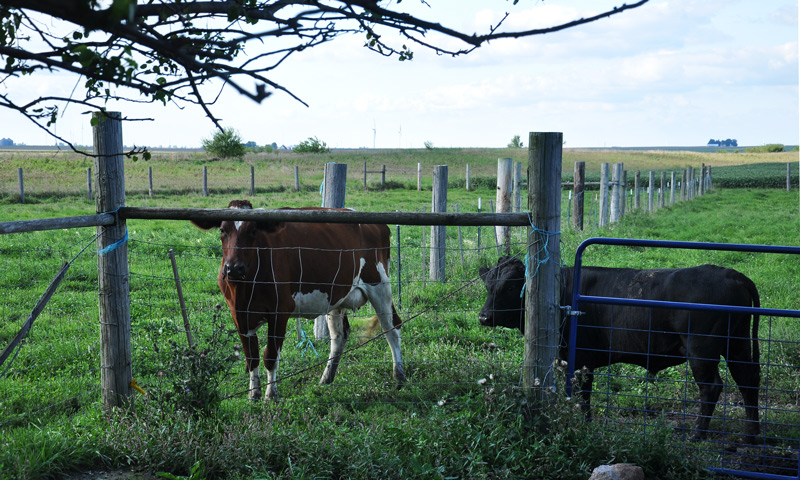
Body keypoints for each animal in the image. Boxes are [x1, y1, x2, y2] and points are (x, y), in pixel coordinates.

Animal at [192, 200, 405, 401]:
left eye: (252, 230)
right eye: (222, 230)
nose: (234, 268)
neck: (244, 287)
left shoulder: (280, 311)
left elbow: (270, 356)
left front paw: (271, 396)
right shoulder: (239, 314)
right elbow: (251, 357)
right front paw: (253, 395)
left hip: (380, 285)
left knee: (392, 328)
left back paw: (400, 377)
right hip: (336, 296)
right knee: (339, 336)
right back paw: (326, 379)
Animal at [478, 256, 761, 441]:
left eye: (511, 286)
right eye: (488, 285)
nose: (483, 317)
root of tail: (731, 273)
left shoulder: (581, 360)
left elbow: (583, 394)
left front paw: (584, 422)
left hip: (702, 351)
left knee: (712, 387)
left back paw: (698, 434)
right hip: (737, 343)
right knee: (747, 379)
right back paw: (751, 433)